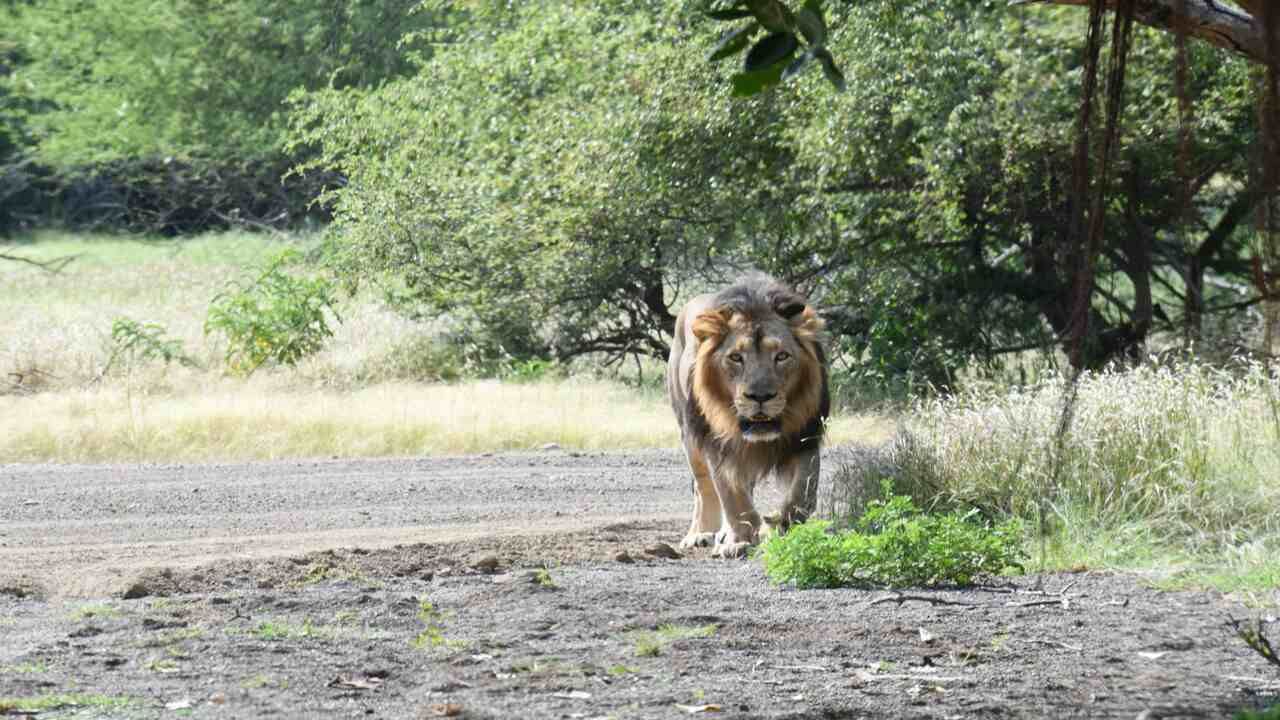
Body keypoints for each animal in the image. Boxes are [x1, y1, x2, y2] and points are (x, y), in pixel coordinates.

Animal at [665, 271, 824, 558]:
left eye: (782, 356)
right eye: (736, 357)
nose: (760, 396)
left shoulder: (805, 438)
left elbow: (803, 493)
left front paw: (779, 524)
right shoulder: (716, 444)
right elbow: (732, 497)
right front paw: (740, 540)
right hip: (688, 432)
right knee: (703, 487)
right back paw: (702, 534)